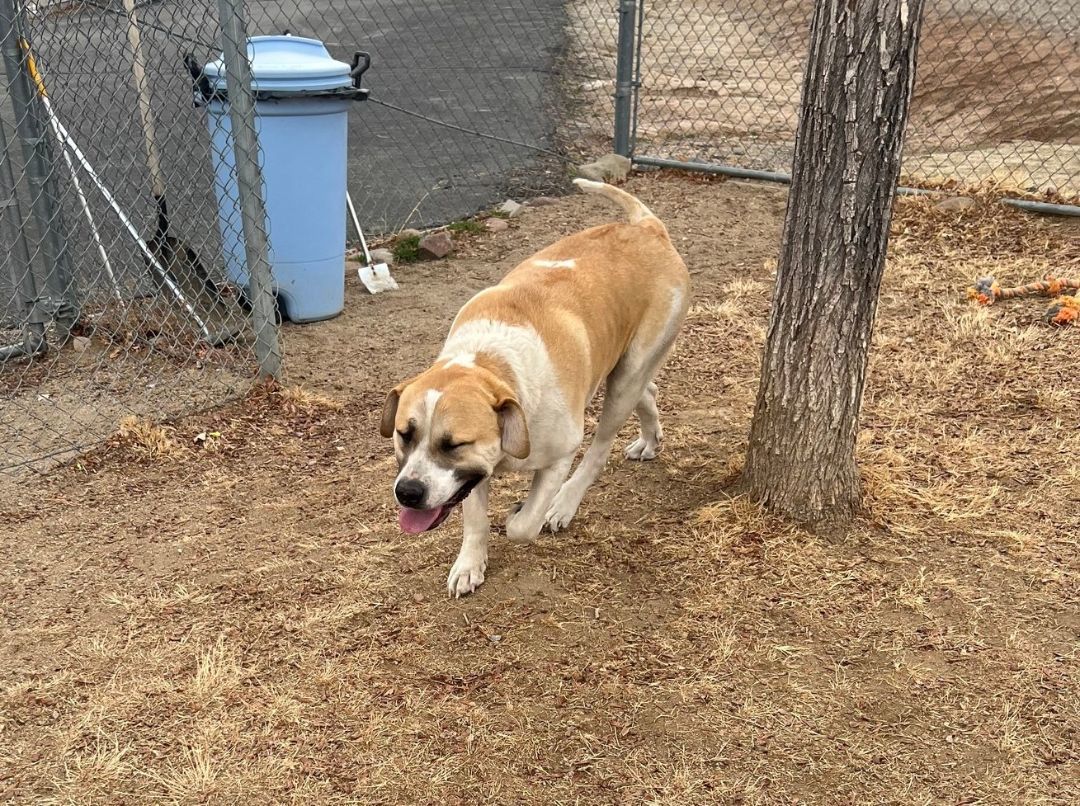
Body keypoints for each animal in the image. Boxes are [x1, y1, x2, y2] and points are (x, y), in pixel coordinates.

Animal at [384, 182, 686, 596]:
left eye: (454, 444)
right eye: (404, 434)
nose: (408, 492)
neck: (493, 364)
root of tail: (648, 228)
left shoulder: (559, 455)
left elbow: (523, 527)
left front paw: (522, 513)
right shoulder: (473, 475)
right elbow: (475, 521)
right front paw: (470, 565)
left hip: (626, 378)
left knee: (599, 450)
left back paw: (564, 504)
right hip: (624, 368)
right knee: (649, 390)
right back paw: (649, 439)